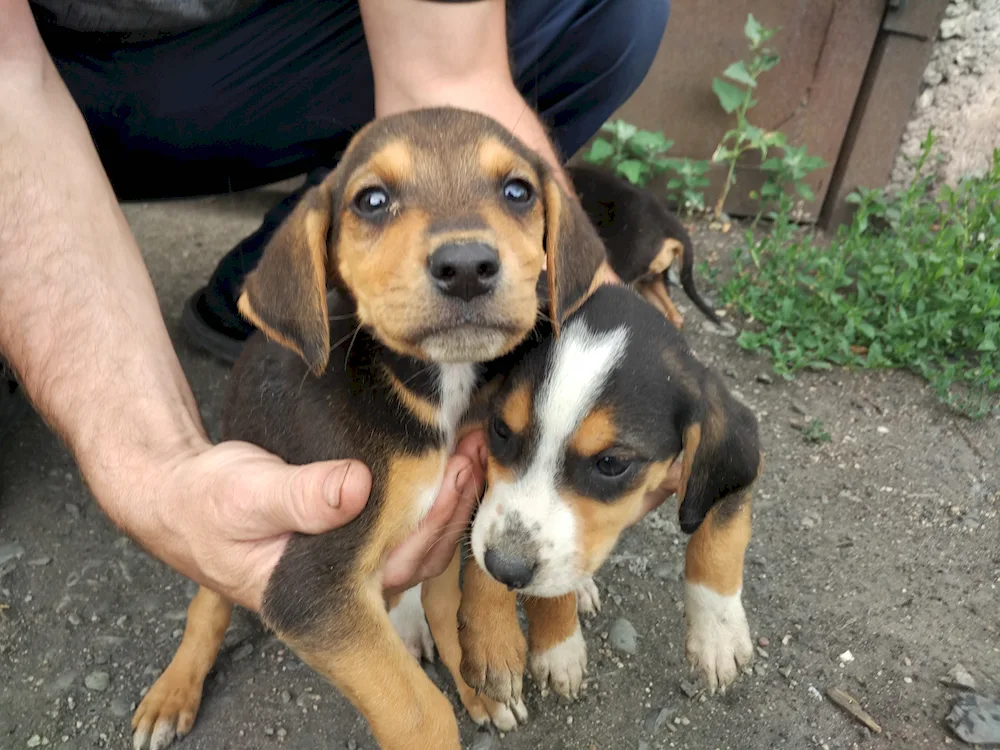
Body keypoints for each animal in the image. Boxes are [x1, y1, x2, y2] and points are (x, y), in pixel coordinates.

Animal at [131, 107, 608, 750]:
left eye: (518, 192)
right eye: (372, 200)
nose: (466, 267)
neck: (433, 394)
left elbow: (484, 562)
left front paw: (489, 655)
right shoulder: (311, 588)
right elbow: (418, 710)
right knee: (207, 606)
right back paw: (173, 691)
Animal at [458, 217, 760, 712]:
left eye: (613, 463)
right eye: (500, 429)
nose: (508, 569)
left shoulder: (731, 465)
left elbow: (720, 533)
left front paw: (717, 635)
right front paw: (517, 640)